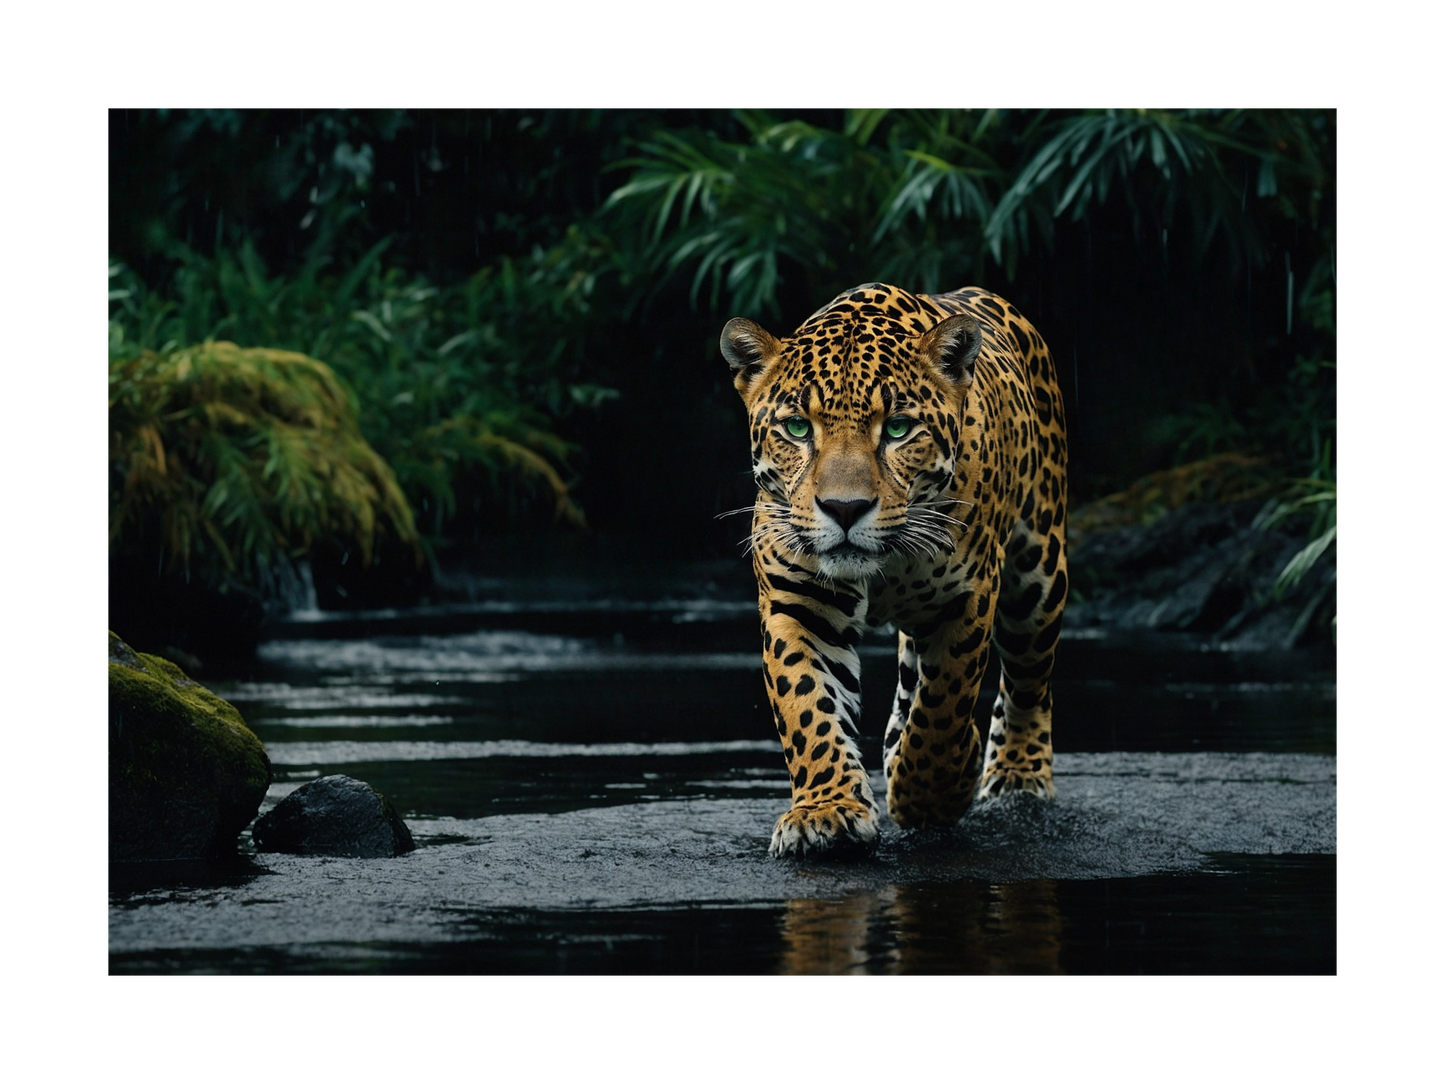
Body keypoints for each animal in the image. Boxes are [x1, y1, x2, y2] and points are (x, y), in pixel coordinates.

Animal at [720, 282, 1067, 857]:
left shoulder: (967, 598)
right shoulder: (798, 604)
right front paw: (827, 811)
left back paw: (1017, 777)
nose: (844, 508)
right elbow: (808, 706)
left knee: (1028, 683)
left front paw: (929, 793)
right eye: (797, 427)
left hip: (1037, 577)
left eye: (900, 429)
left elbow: (944, 706)